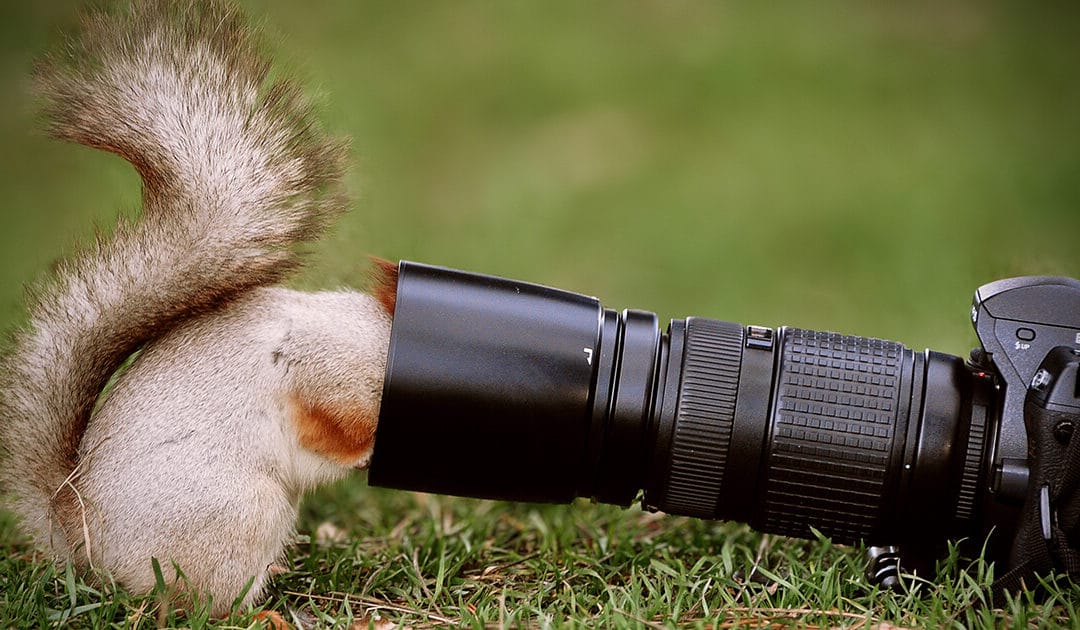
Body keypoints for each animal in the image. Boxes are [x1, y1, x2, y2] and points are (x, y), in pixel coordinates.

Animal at [0, 0, 398, 616]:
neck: (384, 342)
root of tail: (92, 550)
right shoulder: (325, 371)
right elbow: (326, 427)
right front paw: (366, 451)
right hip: (239, 517)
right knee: (203, 604)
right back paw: (265, 613)